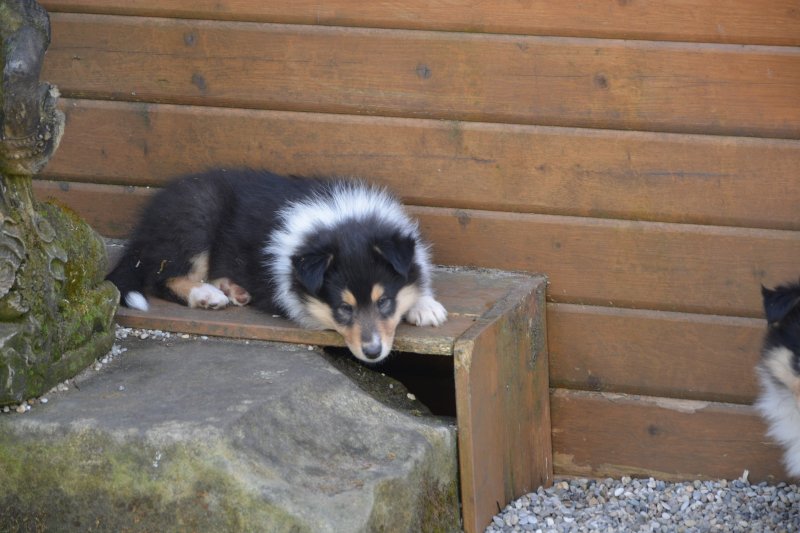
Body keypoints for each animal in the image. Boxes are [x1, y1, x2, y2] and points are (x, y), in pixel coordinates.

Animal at [106, 169, 447, 363]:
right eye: (343, 309)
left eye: (385, 301)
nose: (373, 353)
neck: (338, 220)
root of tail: (142, 232)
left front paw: (425, 305)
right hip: (196, 216)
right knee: (160, 276)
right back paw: (206, 295)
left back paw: (232, 289)